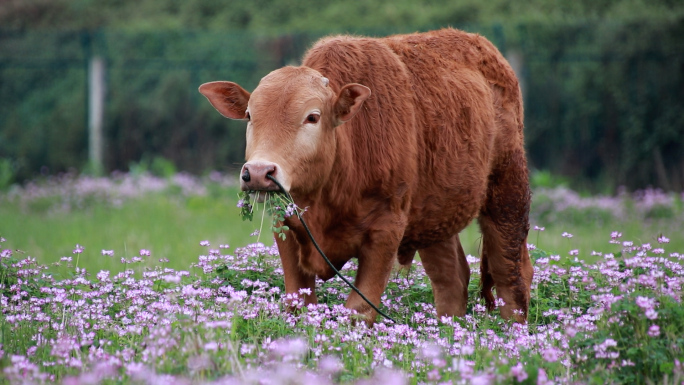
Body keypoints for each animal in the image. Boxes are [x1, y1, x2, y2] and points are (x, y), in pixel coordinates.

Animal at [198, 27, 536, 322]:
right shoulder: (287, 229)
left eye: (312, 117)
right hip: (436, 215)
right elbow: (298, 304)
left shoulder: (386, 230)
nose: (258, 172)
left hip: (508, 190)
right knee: (451, 278)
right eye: (250, 115)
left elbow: (358, 310)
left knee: (511, 276)